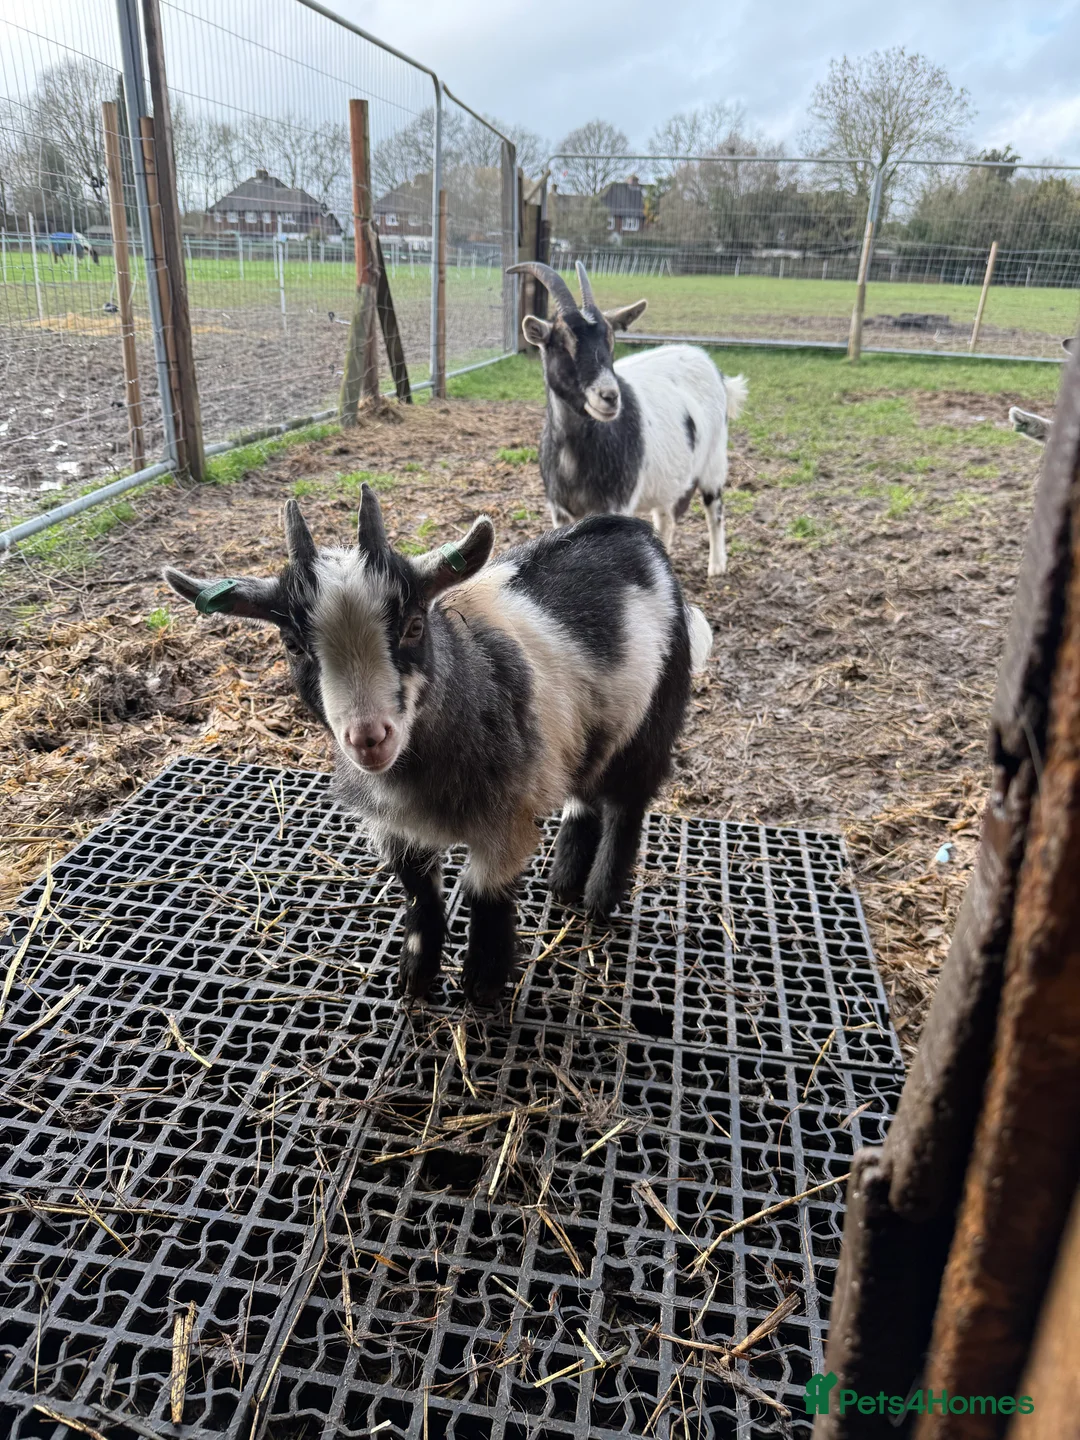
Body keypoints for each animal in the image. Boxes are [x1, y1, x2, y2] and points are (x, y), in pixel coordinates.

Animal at [164, 488, 712, 1006]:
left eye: (413, 625)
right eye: (294, 645)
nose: (369, 738)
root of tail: (636, 532)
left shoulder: (506, 819)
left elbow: (483, 892)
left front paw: (483, 986)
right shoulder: (397, 828)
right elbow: (420, 896)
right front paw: (415, 977)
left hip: (653, 717)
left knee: (627, 804)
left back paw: (599, 898)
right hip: (584, 732)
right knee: (583, 794)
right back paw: (564, 880)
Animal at [507, 260, 747, 577]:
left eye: (610, 339)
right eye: (560, 342)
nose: (609, 396)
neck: (574, 460)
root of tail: (709, 363)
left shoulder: (617, 504)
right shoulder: (559, 510)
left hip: (714, 459)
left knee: (714, 508)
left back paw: (717, 565)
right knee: (666, 516)